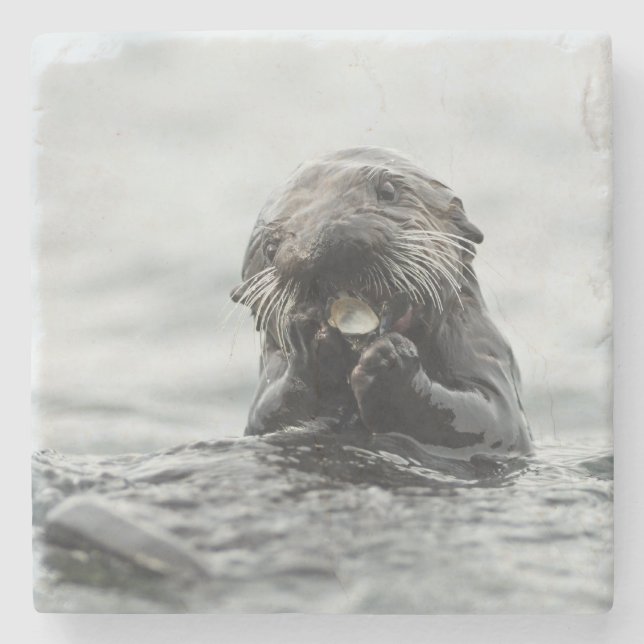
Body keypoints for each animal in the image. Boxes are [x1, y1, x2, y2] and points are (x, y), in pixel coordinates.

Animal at [231, 147, 532, 456]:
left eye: (387, 191)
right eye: (270, 247)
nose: (321, 242)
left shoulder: (482, 347)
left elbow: (492, 418)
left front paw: (391, 362)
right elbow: (268, 415)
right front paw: (313, 344)